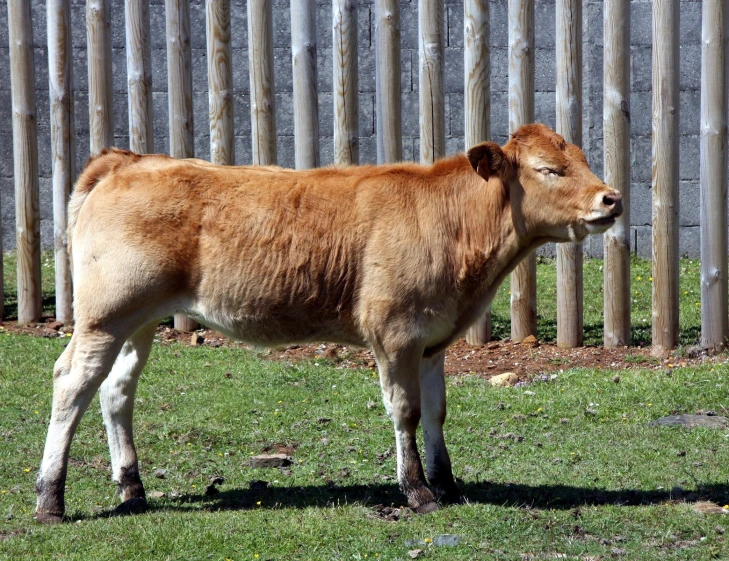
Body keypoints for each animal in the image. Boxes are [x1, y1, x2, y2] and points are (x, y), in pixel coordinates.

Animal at [31, 122, 616, 520]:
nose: (611, 198)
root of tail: (127, 160)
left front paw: (448, 484)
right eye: (548, 169)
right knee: (72, 383)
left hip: (139, 321)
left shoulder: (432, 339)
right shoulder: (394, 332)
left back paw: (132, 489)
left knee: (116, 390)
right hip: (105, 316)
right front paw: (418, 492)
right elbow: (405, 412)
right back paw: (50, 500)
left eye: (581, 157)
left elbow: (436, 413)